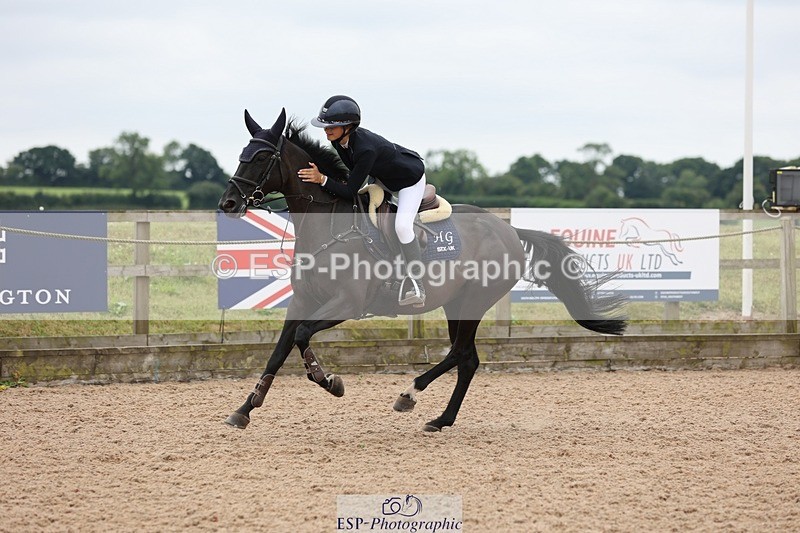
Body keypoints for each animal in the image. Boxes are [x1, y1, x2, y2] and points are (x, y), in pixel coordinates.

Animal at [218, 108, 626, 432]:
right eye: (242, 154)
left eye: (261, 157)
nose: (228, 203)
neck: (328, 226)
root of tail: (509, 229)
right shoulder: (302, 302)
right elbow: (279, 351)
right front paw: (244, 409)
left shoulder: (346, 305)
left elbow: (303, 335)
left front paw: (329, 380)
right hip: (456, 303)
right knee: (468, 359)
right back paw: (441, 419)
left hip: (473, 301)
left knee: (461, 354)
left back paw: (410, 395)